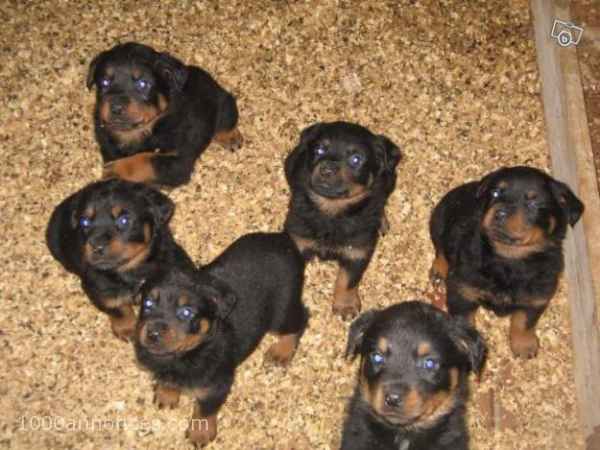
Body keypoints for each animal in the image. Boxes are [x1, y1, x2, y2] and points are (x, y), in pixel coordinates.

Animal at [46, 179, 194, 340]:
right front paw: (127, 329)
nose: (97, 246)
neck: (131, 270)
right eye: (85, 222)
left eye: (124, 220)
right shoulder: (98, 287)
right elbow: (117, 307)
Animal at [87, 42, 242, 187]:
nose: (116, 107)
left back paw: (231, 137)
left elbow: (147, 160)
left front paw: (116, 170)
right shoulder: (108, 150)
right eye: (104, 82)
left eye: (143, 84)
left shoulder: (178, 162)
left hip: (223, 102)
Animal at [134, 232, 308, 447]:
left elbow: (204, 410)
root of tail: (285, 239)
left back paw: (281, 352)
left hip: (282, 313)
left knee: (301, 319)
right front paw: (166, 394)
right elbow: (168, 380)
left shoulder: (218, 385)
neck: (192, 351)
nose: (153, 333)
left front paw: (200, 433)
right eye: (148, 303)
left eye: (186, 312)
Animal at [284, 121, 401, 319]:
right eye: (320, 149)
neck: (332, 211)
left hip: (389, 178)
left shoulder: (357, 251)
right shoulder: (297, 241)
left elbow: (347, 280)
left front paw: (345, 306)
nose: (326, 169)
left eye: (356, 159)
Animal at [429, 166, 584, 358]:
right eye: (495, 193)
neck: (509, 260)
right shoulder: (462, 291)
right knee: (441, 249)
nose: (499, 213)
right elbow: (464, 324)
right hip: (438, 221)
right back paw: (439, 271)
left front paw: (524, 346)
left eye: (533, 203)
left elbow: (523, 321)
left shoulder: (538, 296)